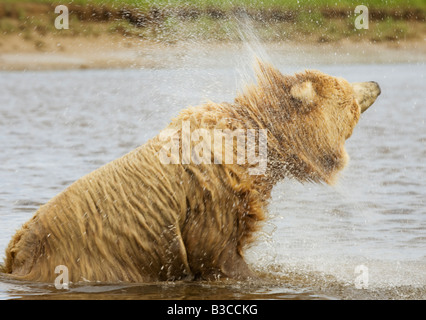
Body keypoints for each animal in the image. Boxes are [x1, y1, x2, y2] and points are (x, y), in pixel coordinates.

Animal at [0, 60, 380, 282]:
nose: (375, 84)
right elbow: (217, 255)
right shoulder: (211, 199)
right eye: (347, 92)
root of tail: (17, 257)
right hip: (82, 258)